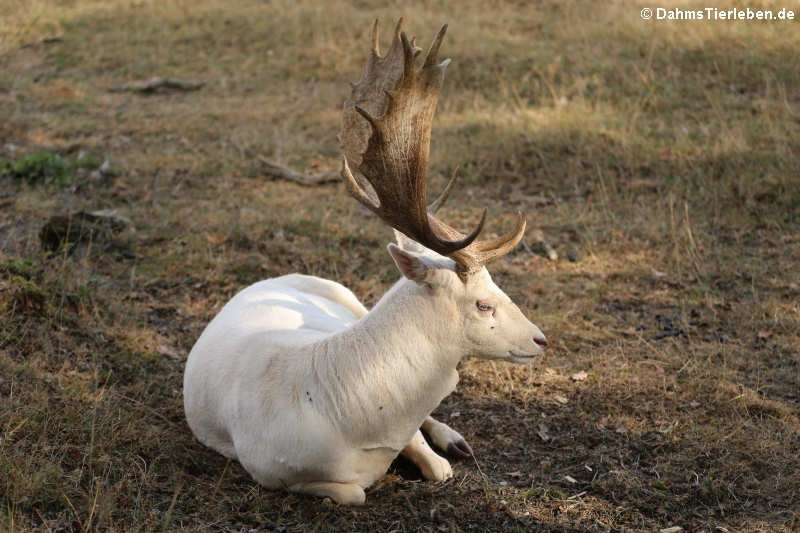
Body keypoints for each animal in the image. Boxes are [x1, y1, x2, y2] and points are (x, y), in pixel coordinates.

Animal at [184, 19, 548, 502]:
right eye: (484, 303)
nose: (541, 340)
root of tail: (268, 279)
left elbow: (435, 465)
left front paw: (441, 452)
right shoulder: (267, 469)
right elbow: (354, 492)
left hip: (350, 298)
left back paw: (455, 439)